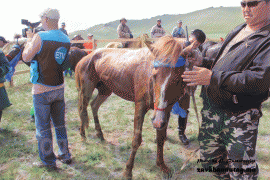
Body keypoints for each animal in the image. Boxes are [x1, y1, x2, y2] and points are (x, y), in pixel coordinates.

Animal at [74, 35, 200, 179]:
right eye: (154, 75)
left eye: (178, 79)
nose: (156, 121)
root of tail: (85, 57)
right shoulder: (140, 105)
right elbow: (136, 139)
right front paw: (128, 171)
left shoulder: (164, 111)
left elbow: (161, 137)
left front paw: (162, 166)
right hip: (86, 91)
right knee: (82, 110)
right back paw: (83, 135)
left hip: (105, 90)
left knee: (94, 106)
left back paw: (100, 134)